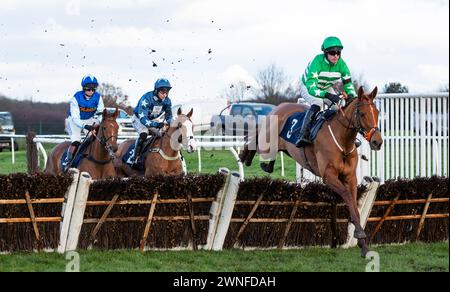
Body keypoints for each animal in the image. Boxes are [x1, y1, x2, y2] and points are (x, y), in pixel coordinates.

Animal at [239, 86, 384, 256]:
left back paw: (265, 165)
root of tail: (278, 107)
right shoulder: (328, 176)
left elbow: (354, 204)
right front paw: (360, 235)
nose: (377, 141)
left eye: (377, 112)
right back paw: (245, 155)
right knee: (256, 136)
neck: (342, 140)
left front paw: (362, 243)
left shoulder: (350, 177)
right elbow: (347, 195)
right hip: (266, 145)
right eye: (362, 114)